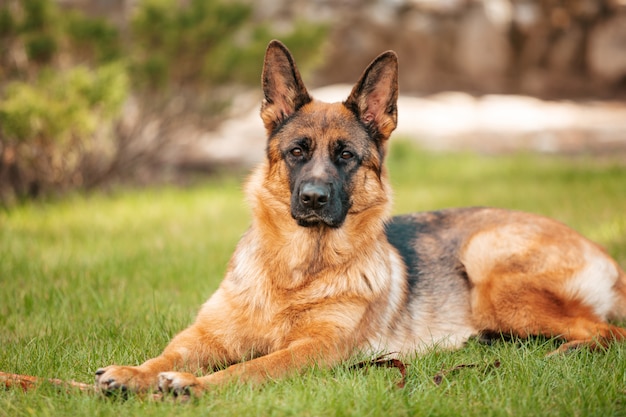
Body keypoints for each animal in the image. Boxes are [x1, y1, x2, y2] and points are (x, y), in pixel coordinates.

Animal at [95, 40, 624, 394]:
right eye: (297, 152)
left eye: (346, 156)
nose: (312, 198)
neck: (296, 274)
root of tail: (604, 255)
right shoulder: (205, 334)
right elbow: (168, 352)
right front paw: (130, 373)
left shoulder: (313, 351)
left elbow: (250, 368)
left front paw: (195, 385)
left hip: (490, 267)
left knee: (607, 334)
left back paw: (558, 354)